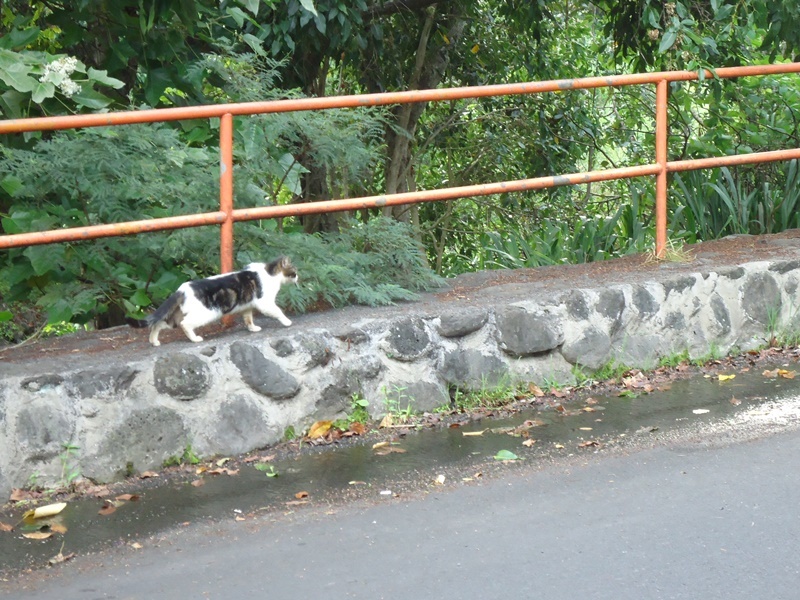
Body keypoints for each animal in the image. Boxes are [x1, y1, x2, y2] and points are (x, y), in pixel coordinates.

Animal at [128, 254, 296, 346]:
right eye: (294, 272)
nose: (298, 278)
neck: (270, 272)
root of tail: (181, 289)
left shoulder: (247, 306)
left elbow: (248, 319)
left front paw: (253, 328)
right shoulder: (265, 303)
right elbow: (277, 311)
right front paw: (287, 322)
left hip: (175, 317)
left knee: (158, 324)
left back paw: (154, 341)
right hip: (206, 313)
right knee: (185, 324)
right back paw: (195, 339)